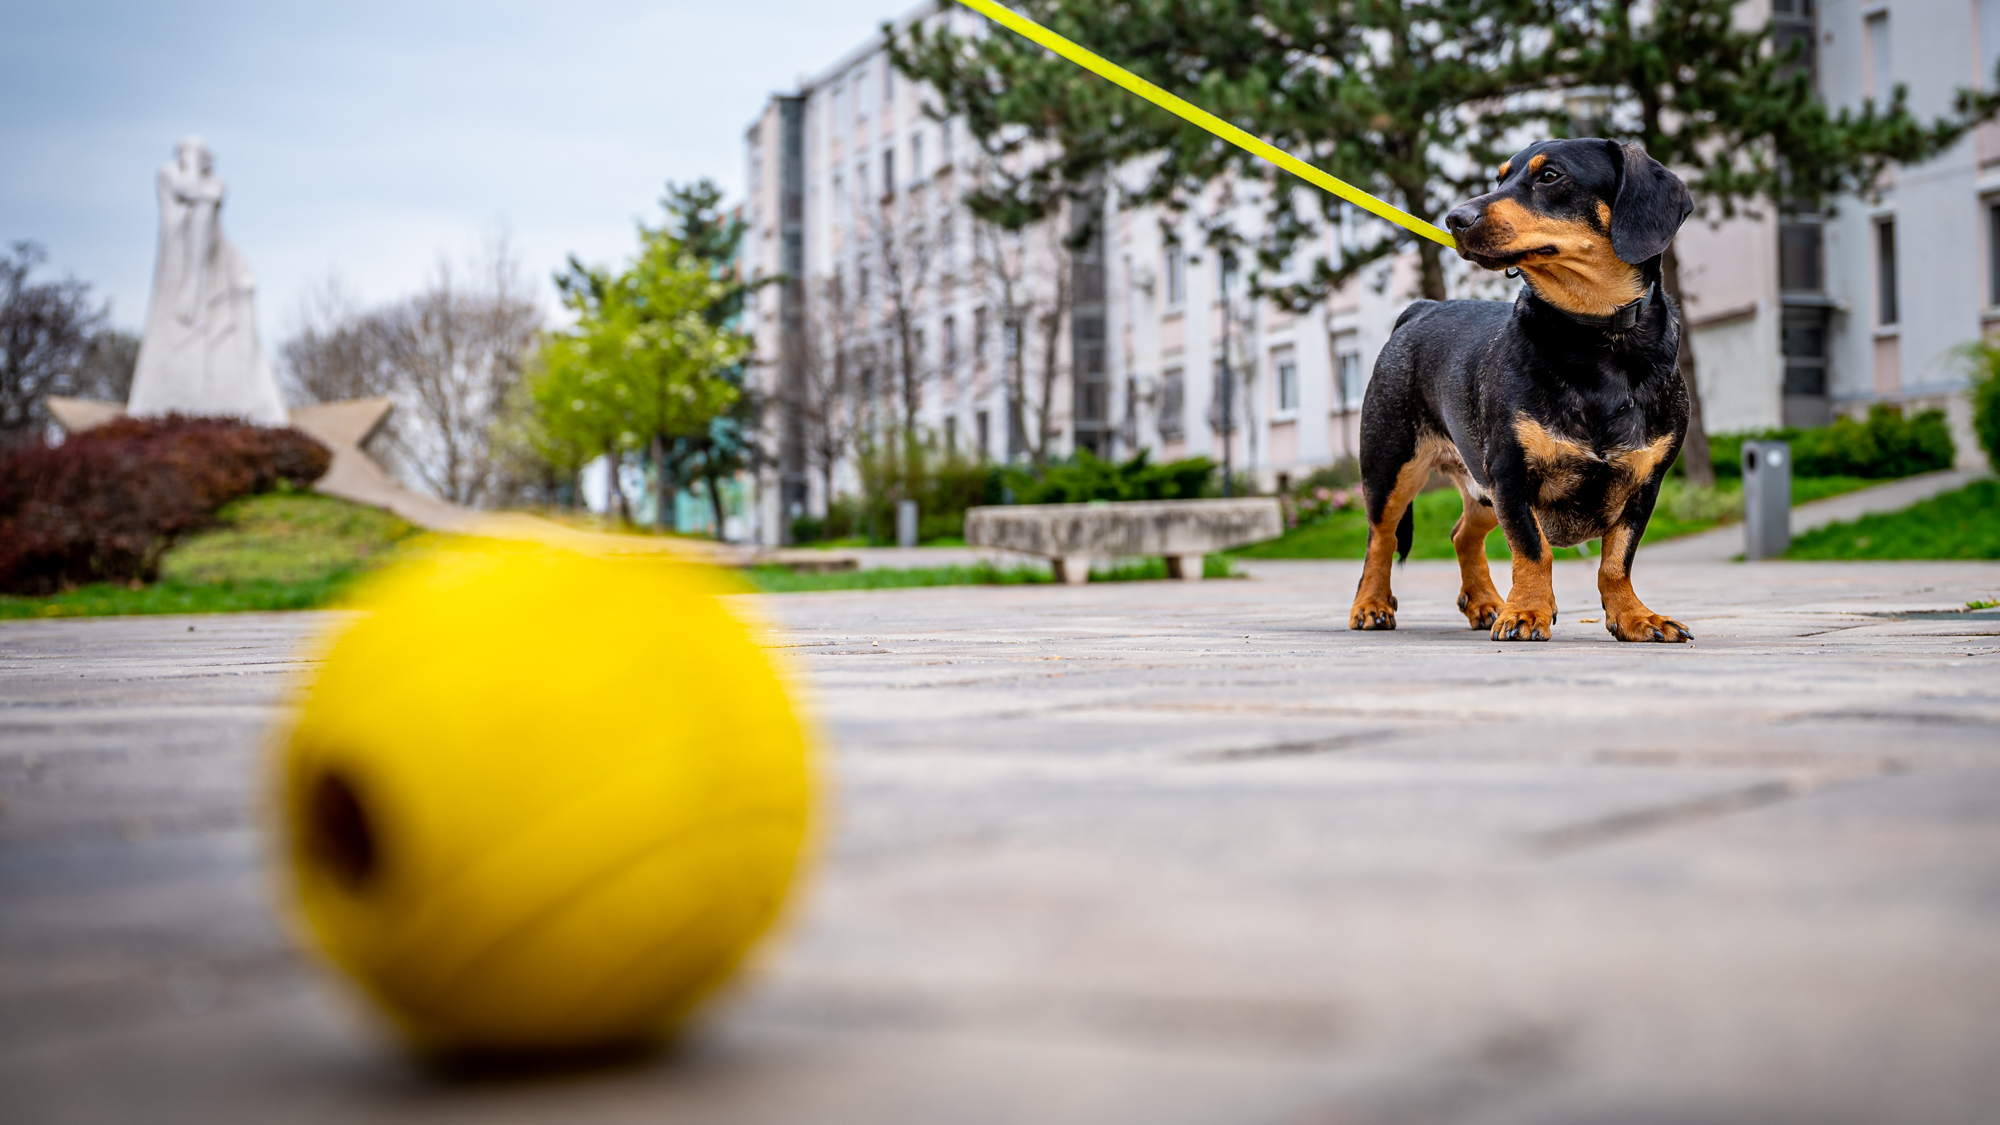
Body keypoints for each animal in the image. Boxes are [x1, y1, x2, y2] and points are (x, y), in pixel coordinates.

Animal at [1352, 142, 1696, 640]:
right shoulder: (1511, 474)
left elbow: (1617, 561)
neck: (1594, 334)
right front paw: (1528, 611)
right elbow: (1534, 550)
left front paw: (1635, 617)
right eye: (1500, 178)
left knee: (1462, 534)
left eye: (1550, 175)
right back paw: (1372, 605)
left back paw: (1484, 603)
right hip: (1392, 466)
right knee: (1380, 538)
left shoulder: (1644, 484)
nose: (1455, 218)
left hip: (1479, 484)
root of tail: (1422, 309)